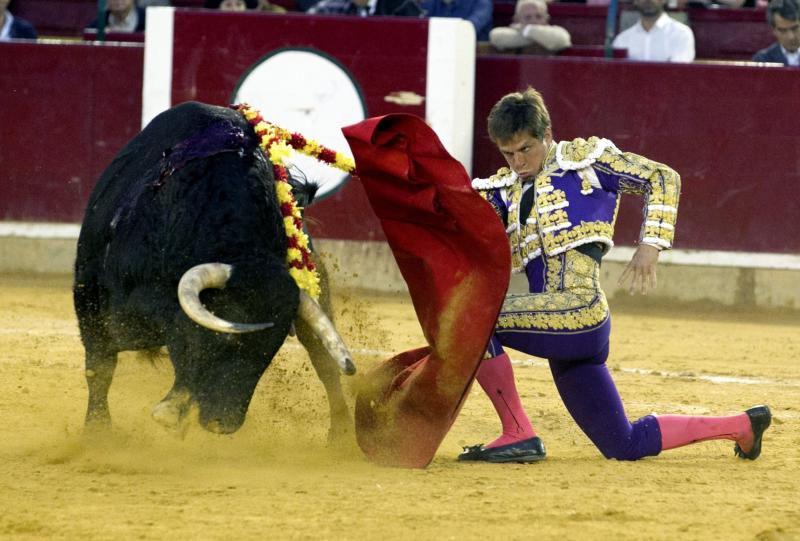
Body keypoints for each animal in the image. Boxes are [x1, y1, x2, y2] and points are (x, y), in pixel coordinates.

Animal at [75, 101, 356, 438]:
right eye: (225, 339)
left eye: (270, 352)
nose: (224, 423)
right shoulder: (88, 294)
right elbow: (100, 367)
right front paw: (96, 432)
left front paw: (172, 409)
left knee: (324, 360)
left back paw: (340, 436)